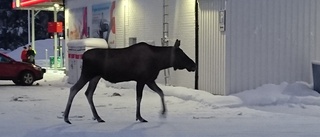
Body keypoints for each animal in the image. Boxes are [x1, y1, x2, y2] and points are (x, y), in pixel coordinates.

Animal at [63, 38, 196, 124]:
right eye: (182, 54)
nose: (194, 65)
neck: (160, 62)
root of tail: (83, 56)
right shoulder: (142, 79)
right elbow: (139, 98)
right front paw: (140, 117)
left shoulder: (149, 80)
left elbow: (161, 92)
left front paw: (163, 112)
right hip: (87, 74)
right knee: (74, 89)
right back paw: (66, 118)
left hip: (95, 76)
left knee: (88, 93)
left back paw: (98, 117)